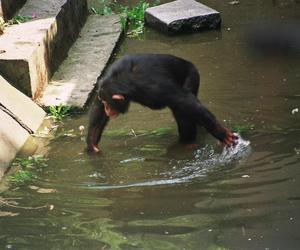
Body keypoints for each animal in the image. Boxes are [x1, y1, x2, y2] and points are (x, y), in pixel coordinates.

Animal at [86, 54, 237, 152]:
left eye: (108, 104)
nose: (107, 109)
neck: (124, 80)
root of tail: (188, 63)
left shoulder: (157, 87)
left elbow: (185, 101)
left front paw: (221, 133)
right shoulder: (103, 84)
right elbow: (98, 114)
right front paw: (92, 144)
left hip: (193, 76)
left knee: (182, 109)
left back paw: (186, 143)